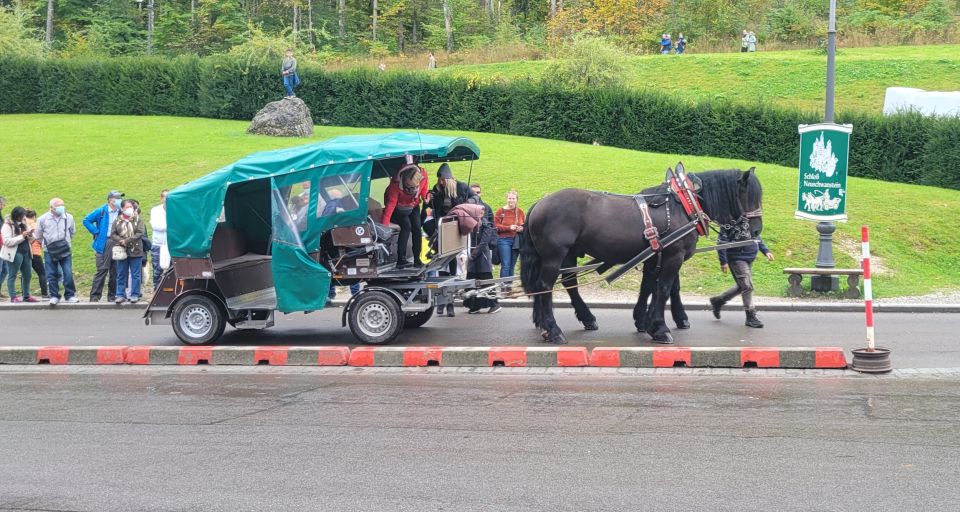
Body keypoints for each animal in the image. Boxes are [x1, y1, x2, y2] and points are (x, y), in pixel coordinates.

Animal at [520, 168, 760, 344]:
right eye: (750, 196)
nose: (756, 230)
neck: (684, 205)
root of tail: (540, 203)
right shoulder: (674, 256)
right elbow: (664, 289)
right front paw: (661, 328)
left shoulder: (655, 256)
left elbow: (649, 287)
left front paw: (644, 321)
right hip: (554, 256)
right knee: (545, 286)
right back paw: (553, 329)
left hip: (567, 255)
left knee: (568, 284)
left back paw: (566, 321)